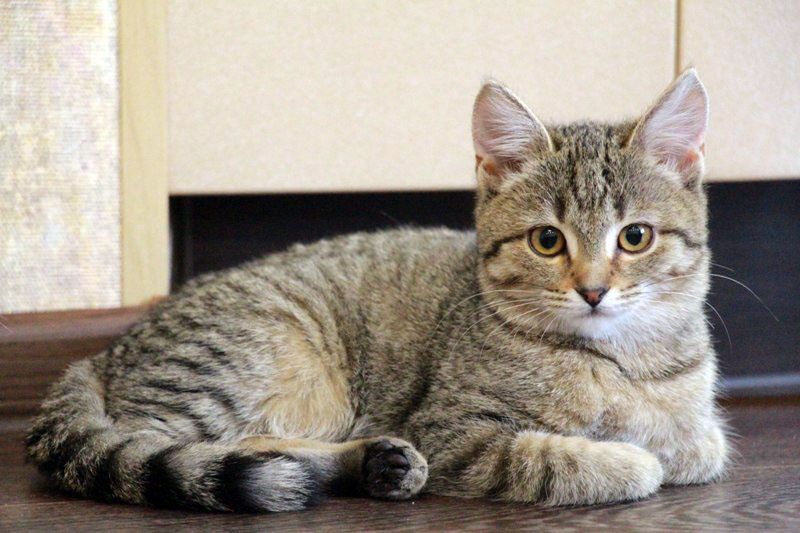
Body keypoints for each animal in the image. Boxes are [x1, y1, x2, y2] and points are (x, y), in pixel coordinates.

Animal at [27, 69, 728, 512]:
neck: (619, 360)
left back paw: (376, 464)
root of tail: (106, 352)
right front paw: (627, 461)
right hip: (261, 359)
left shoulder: (699, 426)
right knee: (170, 446)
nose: (592, 291)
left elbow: (700, 444)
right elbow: (559, 458)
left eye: (635, 237)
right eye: (548, 241)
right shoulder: (455, 430)